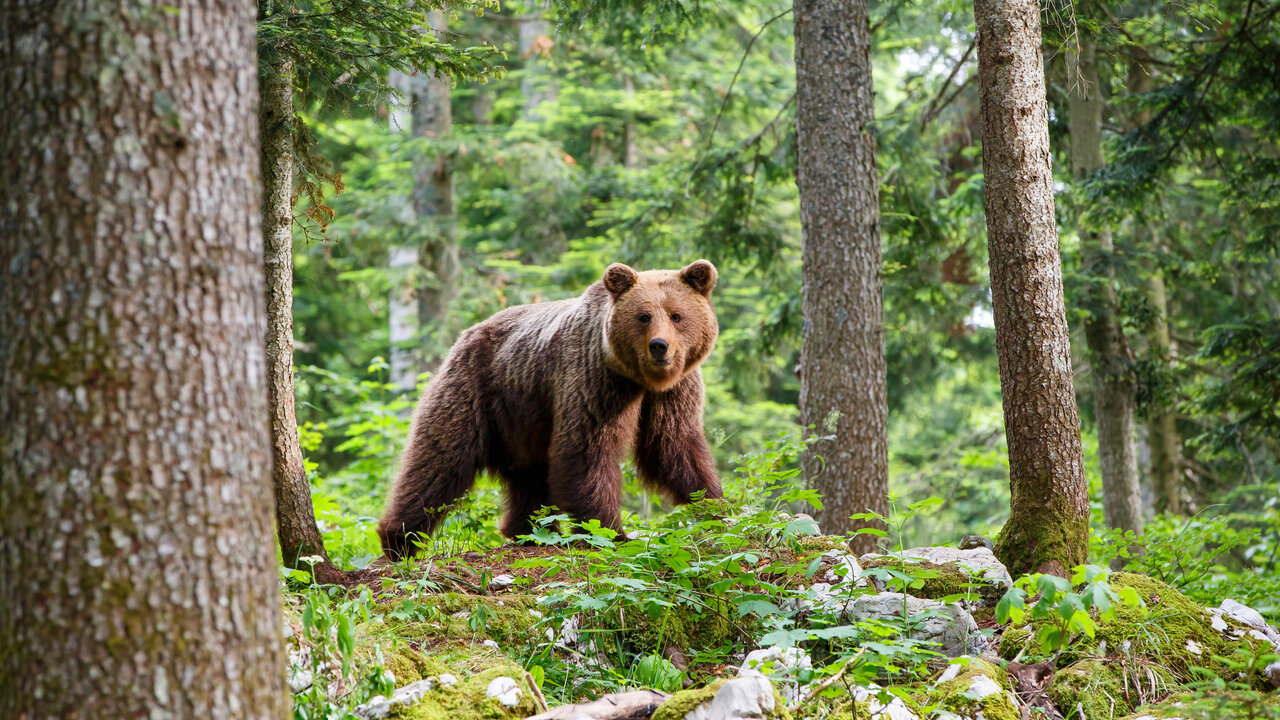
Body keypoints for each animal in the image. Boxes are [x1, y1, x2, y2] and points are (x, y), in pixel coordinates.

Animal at [373, 256, 727, 556]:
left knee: (529, 477)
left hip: (522, 418)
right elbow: (586, 449)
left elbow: (674, 445)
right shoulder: (593, 379)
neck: (638, 379)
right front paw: (612, 533)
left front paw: (716, 509)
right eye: (643, 316)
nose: (659, 346)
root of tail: (465, 334)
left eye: (676, 315)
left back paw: (529, 532)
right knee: (440, 460)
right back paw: (399, 540)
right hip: (475, 390)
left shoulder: (675, 390)